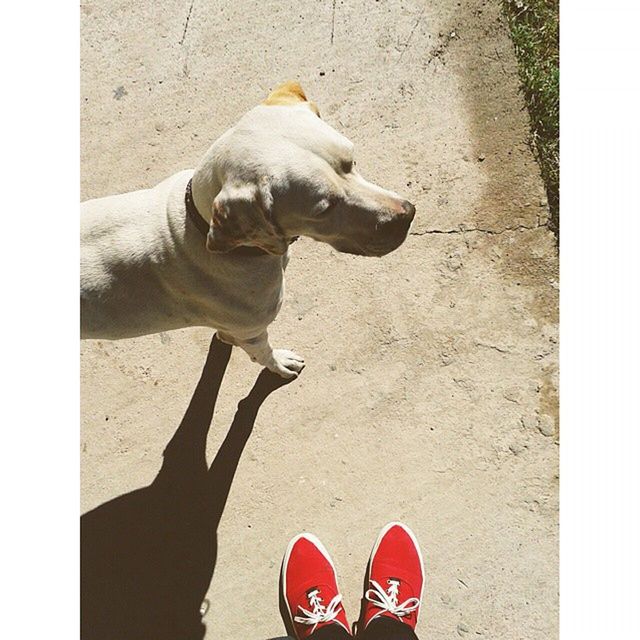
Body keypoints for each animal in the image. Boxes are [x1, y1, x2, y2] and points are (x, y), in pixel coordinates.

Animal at [82, 82, 416, 378]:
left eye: (351, 161)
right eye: (324, 209)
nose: (407, 216)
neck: (201, 228)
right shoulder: (251, 333)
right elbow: (264, 354)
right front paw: (280, 364)